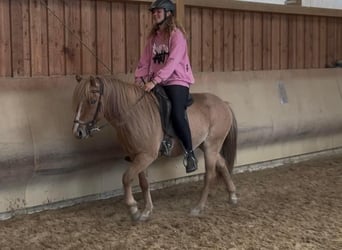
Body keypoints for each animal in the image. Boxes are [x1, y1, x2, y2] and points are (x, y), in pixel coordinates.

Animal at [72, 74, 238, 221]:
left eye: (92, 100)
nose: (78, 132)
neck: (133, 115)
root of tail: (224, 104)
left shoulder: (146, 156)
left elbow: (126, 178)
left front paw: (133, 208)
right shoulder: (137, 155)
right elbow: (143, 183)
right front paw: (147, 210)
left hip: (212, 145)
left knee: (209, 175)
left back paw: (199, 207)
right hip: (207, 145)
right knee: (222, 164)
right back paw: (232, 195)